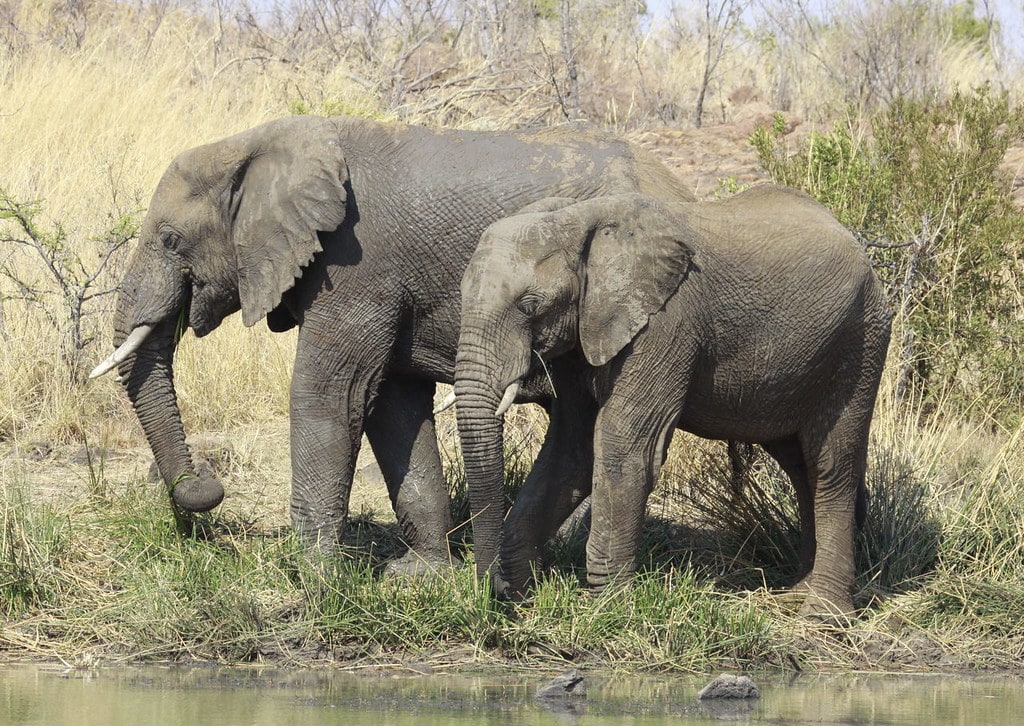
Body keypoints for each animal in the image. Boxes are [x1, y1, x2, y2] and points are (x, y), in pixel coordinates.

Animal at [88, 114, 695, 573]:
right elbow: (393, 406)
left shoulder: (357, 266)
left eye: (171, 240)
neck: (259, 143)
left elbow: (329, 395)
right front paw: (420, 576)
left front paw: (313, 578)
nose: (204, 489)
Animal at [450, 186, 892, 615]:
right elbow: (569, 452)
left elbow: (623, 445)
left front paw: (609, 609)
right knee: (800, 465)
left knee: (831, 465)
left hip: (859, 342)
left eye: (530, 306)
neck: (579, 217)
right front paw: (524, 595)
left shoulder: (666, 321)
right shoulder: (585, 332)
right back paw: (798, 592)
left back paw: (822, 614)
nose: (495, 596)